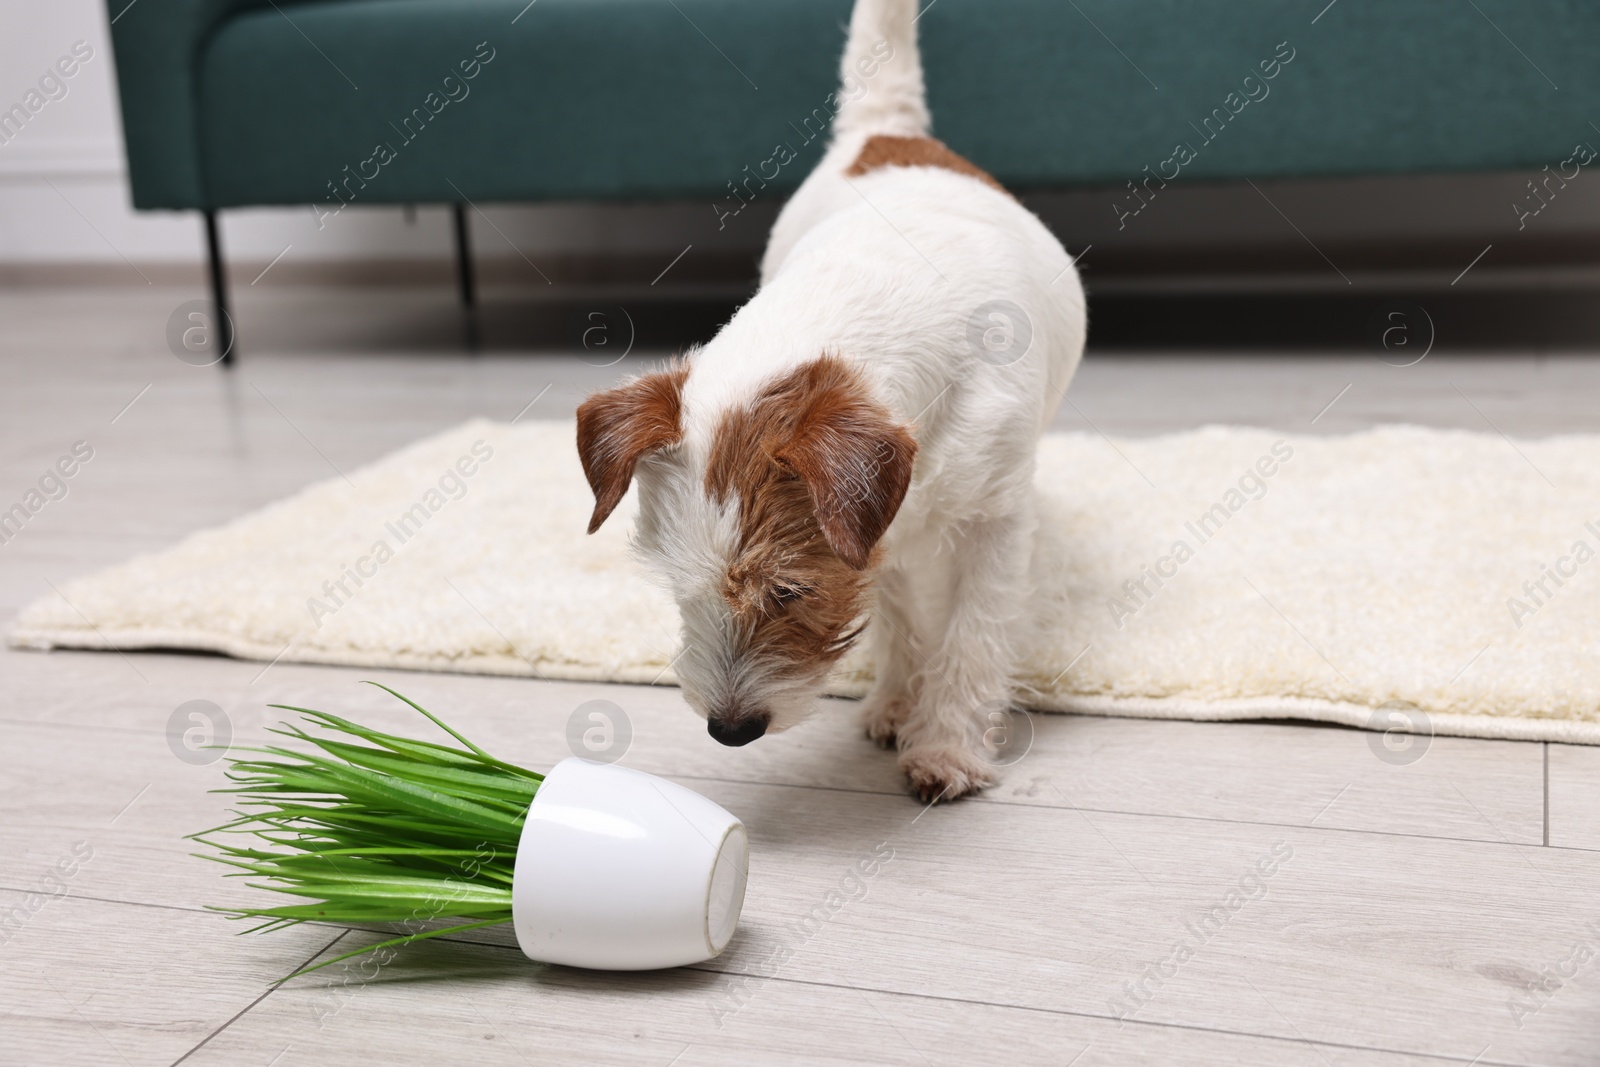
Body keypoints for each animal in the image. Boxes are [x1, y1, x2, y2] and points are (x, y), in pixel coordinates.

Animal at [576, 0, 1088, 799]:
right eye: (679, 587)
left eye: (789, 591)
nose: (729, 730)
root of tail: (880, 130)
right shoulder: (882, 533)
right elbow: (901, 609)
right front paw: (899, 700)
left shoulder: (995, 522)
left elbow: (973, 635)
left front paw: (946, 743)